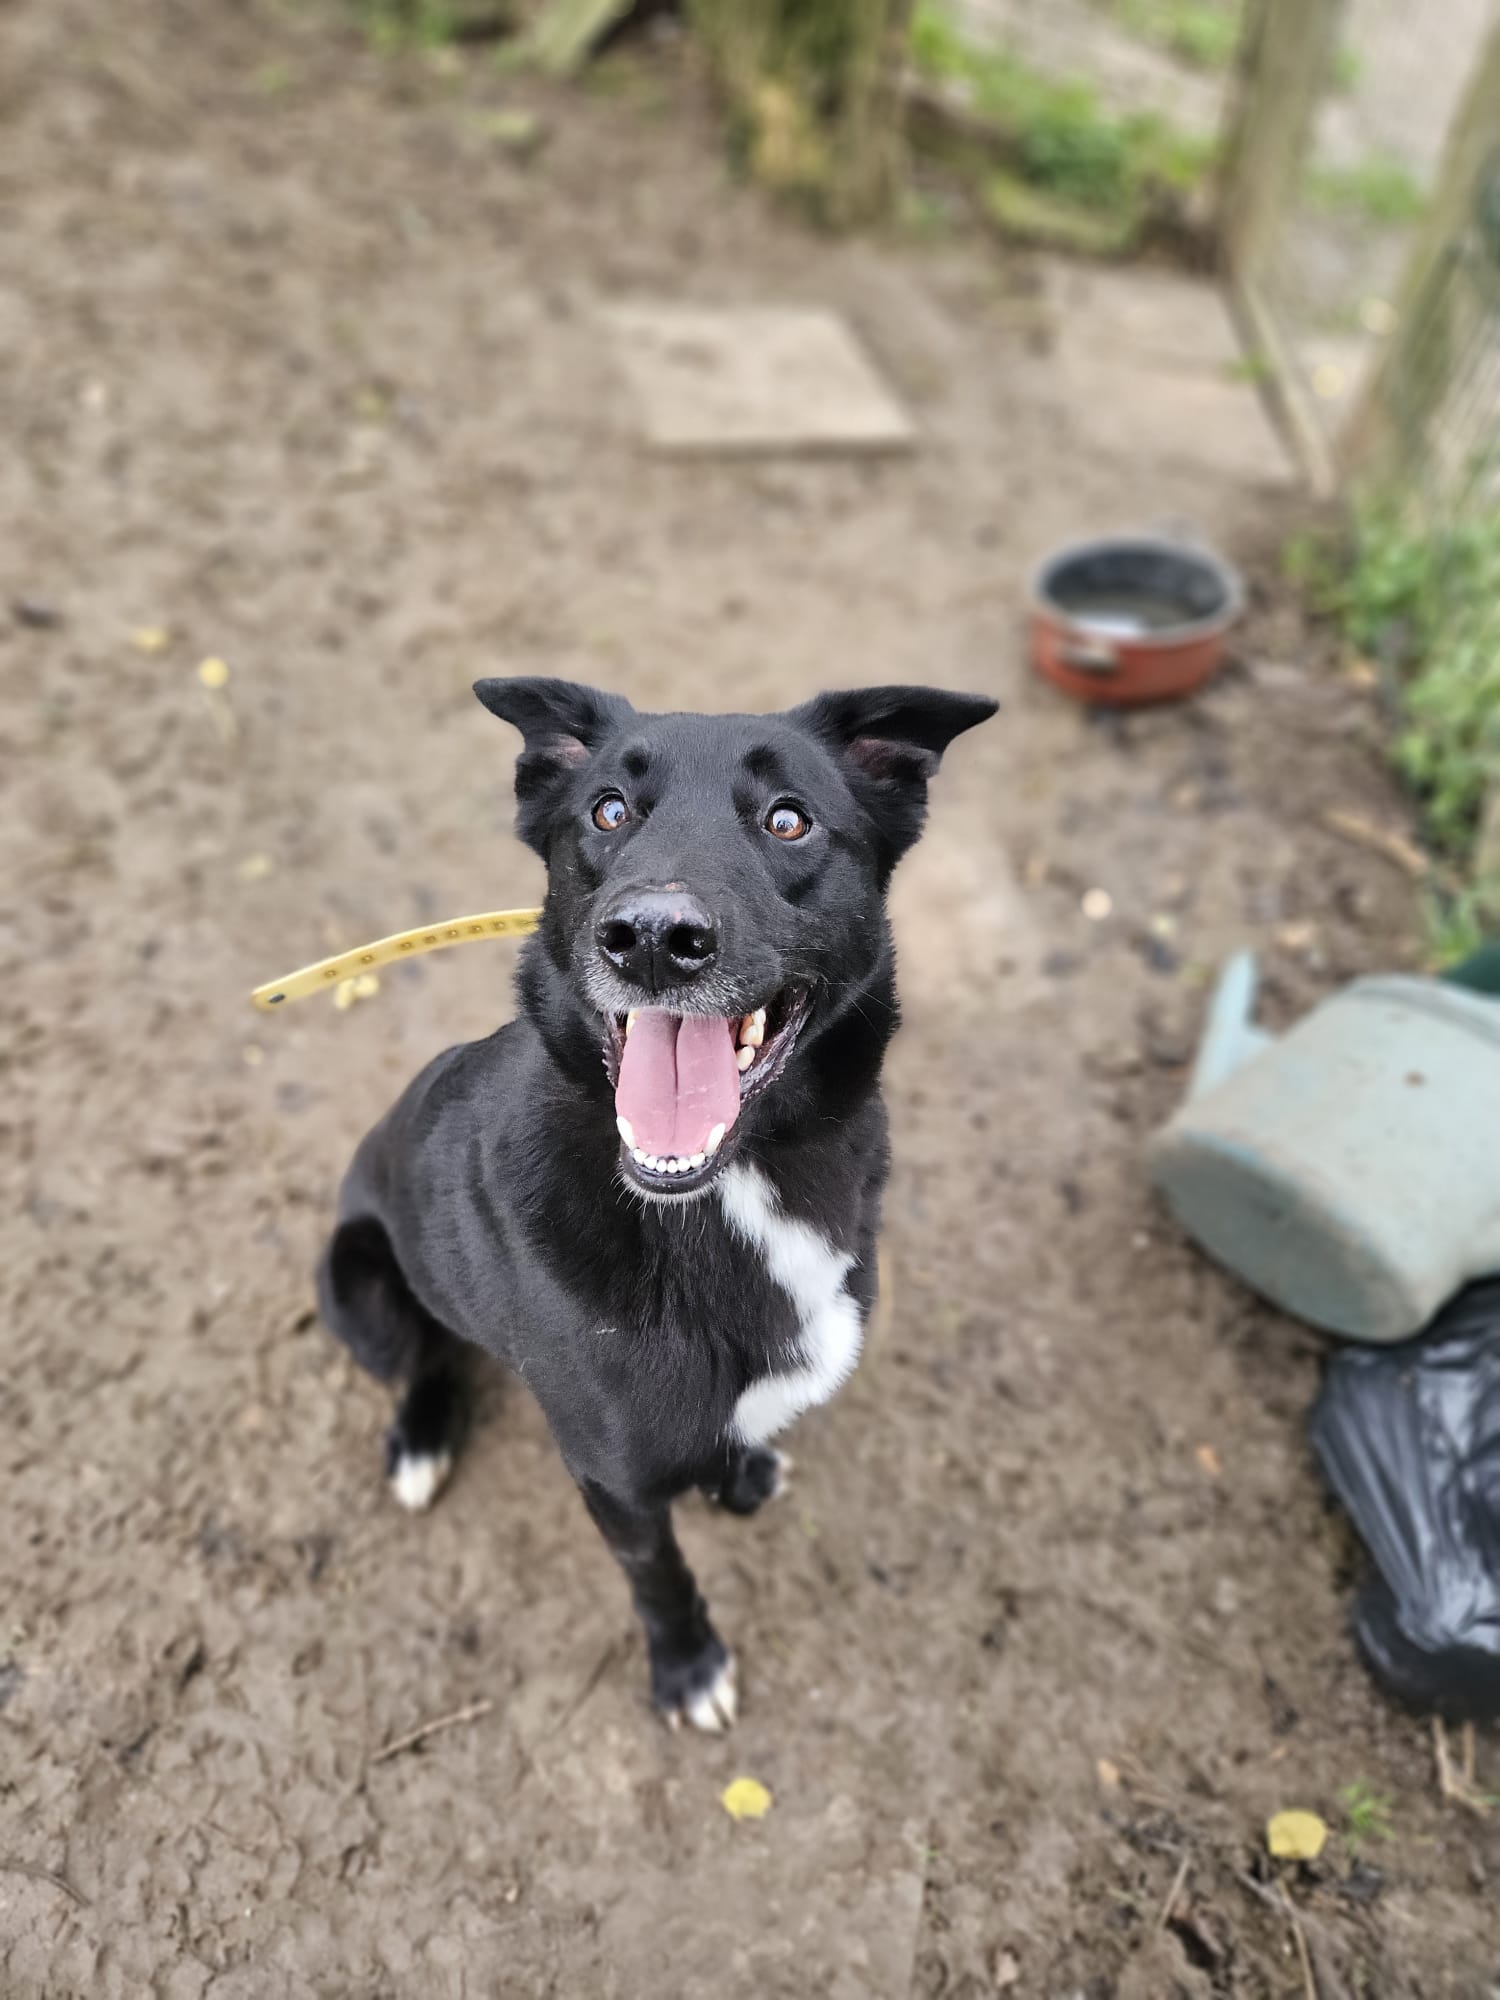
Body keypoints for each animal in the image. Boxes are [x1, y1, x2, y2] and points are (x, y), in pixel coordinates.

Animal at [318, 677, 996, 1729]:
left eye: (789, 820)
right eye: (608, 811)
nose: (649, 940)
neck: (734, 1189)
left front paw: (742, 1473)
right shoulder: (615, 1478)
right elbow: (661, 1576)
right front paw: (689, 1667)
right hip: (361, 1282)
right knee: (424, 1357)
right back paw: (423, 1437)